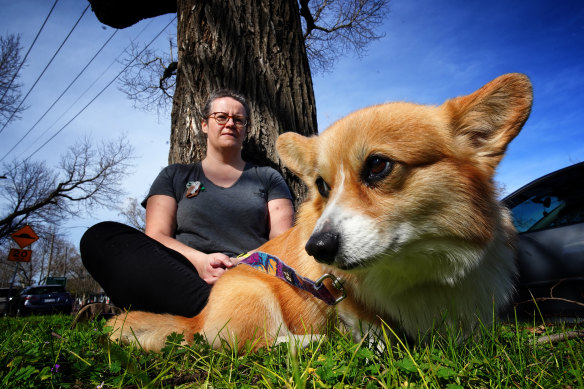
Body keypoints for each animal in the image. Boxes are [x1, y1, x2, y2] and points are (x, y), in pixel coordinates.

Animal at [108, 71, 532, 350]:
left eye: (378, 165)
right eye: (323, 186)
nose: (317, 249)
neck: (422, 270)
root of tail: (196, 318)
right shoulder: (349, 305)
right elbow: (370, 331)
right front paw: (371, 347)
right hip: (251, 292)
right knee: (253, 345)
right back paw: (313, 343)